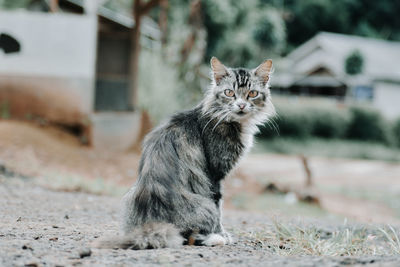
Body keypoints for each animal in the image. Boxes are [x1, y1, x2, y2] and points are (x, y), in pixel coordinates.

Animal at [94, 57, 276, 251]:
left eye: (252, 93)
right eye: (229, 93)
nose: (241, 105)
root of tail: (151, 224)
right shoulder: (215, 174)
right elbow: (219, 208)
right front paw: (222, 234)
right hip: (205, 205)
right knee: (189, 235)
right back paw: (213, 238)